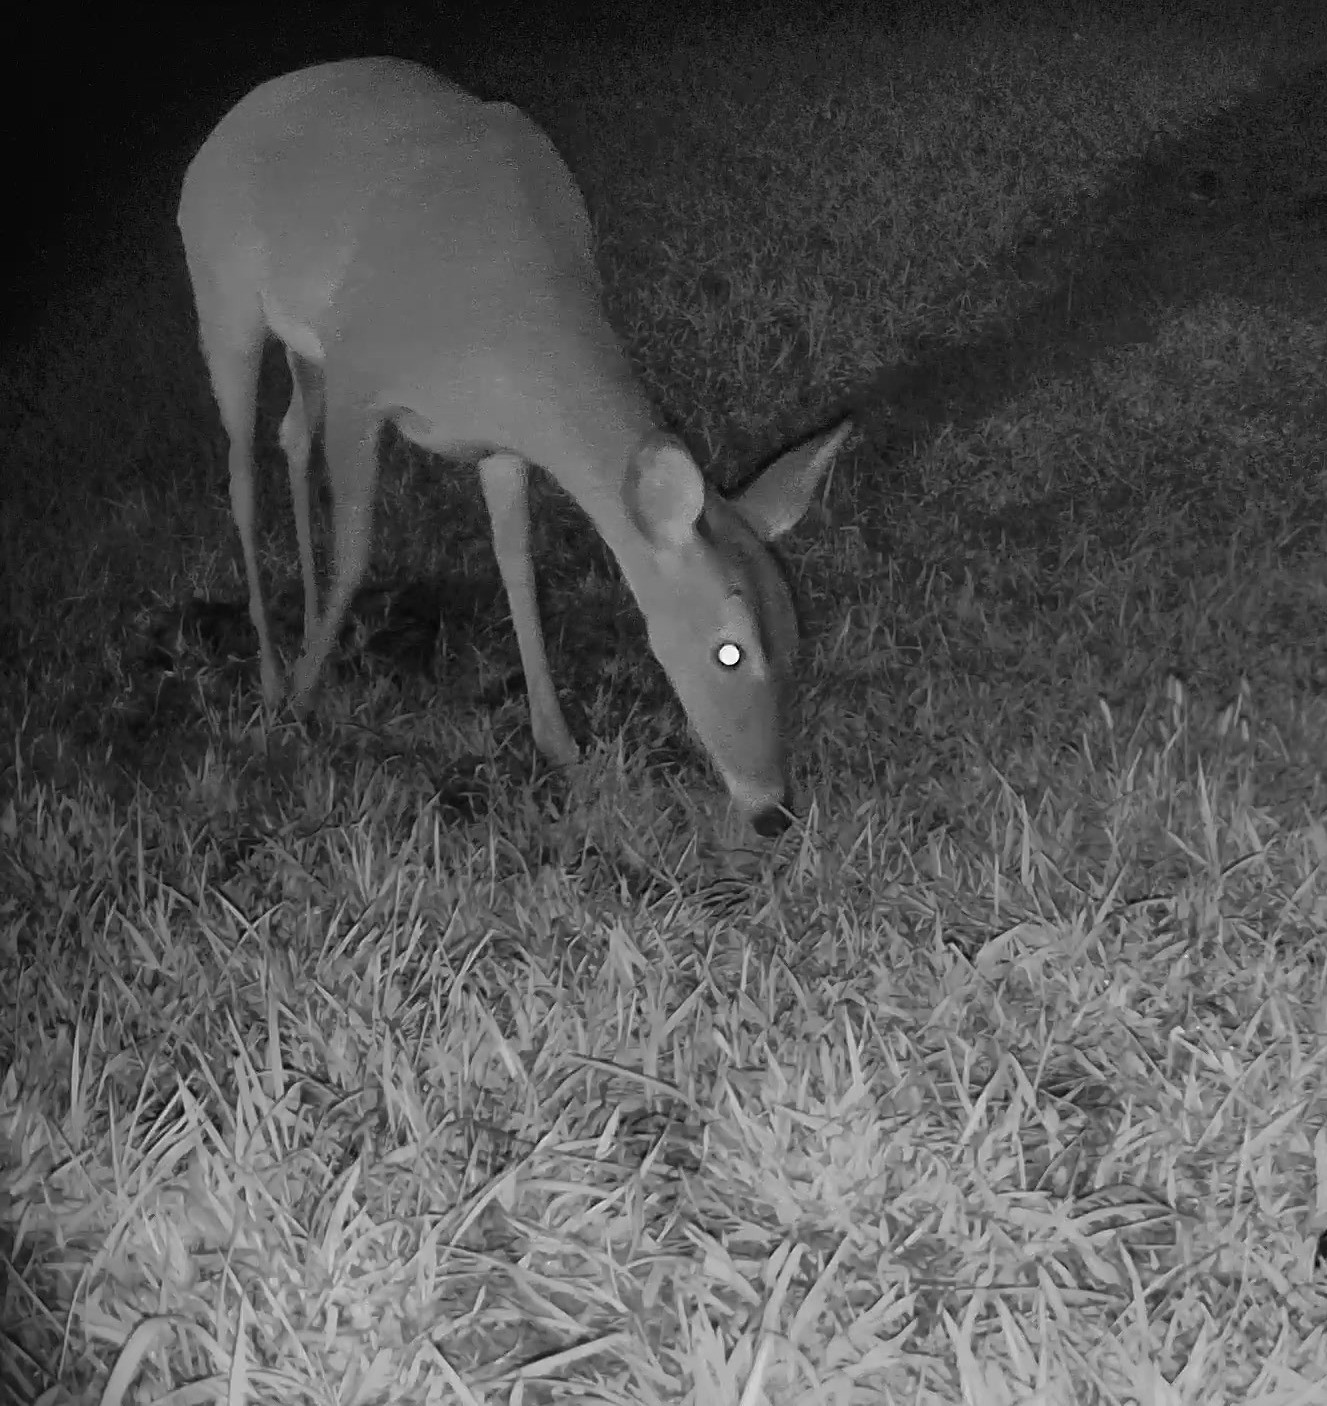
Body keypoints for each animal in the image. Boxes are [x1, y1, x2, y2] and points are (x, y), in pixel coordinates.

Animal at [177, 58, 850, 836]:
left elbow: (517, 565)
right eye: (729, 650)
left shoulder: (500, 444)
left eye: (795, 632)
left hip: (300, 348)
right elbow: (356, 551)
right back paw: (270, 673)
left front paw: (560, 747)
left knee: (289, 434)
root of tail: (232, 121)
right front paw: (297, 709)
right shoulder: (359, 376)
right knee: (241, 473)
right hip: (223, 298)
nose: (774, 809)